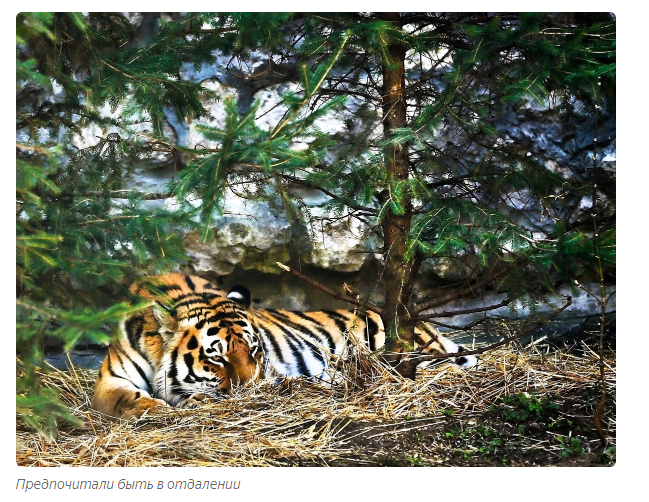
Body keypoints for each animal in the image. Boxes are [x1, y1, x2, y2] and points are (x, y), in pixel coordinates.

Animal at [91, 274, 474, 420]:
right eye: (217, 359)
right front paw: (152, 407)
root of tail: (421, 323)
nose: (254, 392)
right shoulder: (110, 380)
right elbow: (125, 398)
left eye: (254, 351)